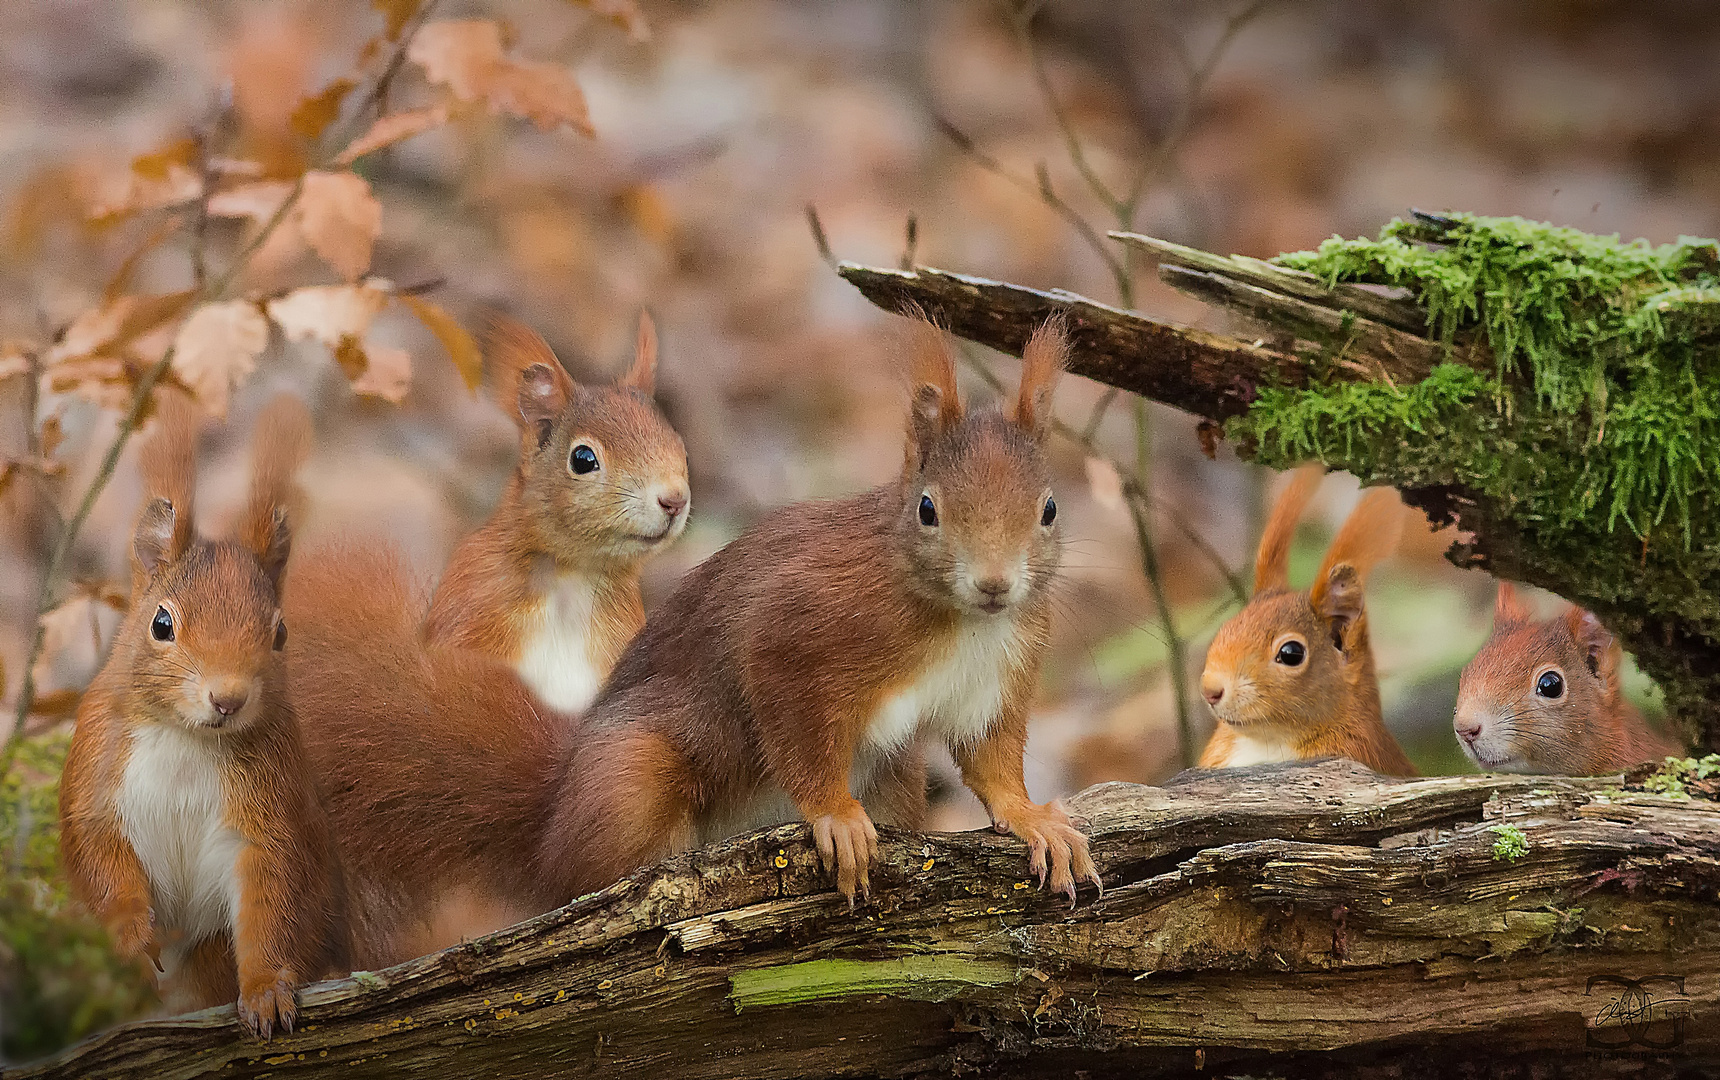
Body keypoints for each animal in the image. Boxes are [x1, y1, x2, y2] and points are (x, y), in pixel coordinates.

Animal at [58, 393, 345, 1038]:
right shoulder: (98, 764)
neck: (187, 739)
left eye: (280, 633)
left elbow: (272, 898)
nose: (228, 698)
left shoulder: (269, 808)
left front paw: (266, 992)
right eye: (161, 623)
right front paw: (130, 934)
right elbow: (97, 853)